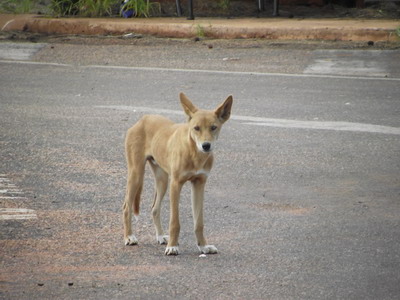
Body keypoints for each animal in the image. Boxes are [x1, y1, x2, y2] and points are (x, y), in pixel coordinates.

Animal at [123, 92, 233, 255]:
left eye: (213, 127)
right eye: (196, 128)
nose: (206, 146)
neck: (194, 153)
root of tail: (143, 118)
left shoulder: (199, 184)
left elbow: (199, 222)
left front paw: (203, 246)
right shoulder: (176, 184)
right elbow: (175, 221)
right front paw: (173, 246)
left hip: (162, 180)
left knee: (154, 208)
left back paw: (161, 236)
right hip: (136, 174)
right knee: (126, 207)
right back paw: (129, 237)